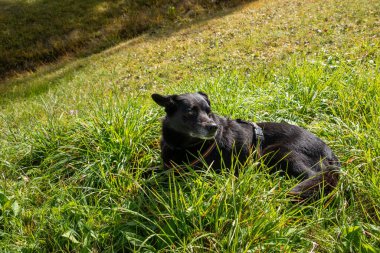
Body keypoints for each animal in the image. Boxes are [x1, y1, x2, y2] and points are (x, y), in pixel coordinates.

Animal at [152, 91, 342, 200]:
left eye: (209, 111)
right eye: (190, 112)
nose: (213, 127)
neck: (182, 145)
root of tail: (330, 153)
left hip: (277, 151)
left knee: (315, 177)